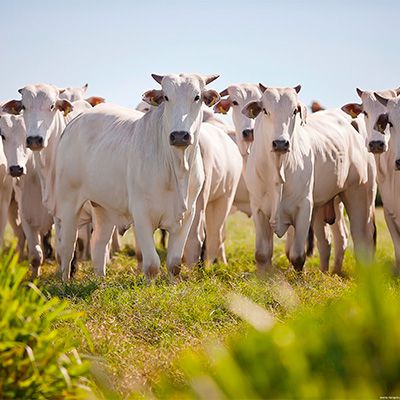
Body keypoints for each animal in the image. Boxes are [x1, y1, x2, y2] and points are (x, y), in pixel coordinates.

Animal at [51, 73, 220, 280]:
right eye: (166, 97)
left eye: (197, 97)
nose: (180, 136)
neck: (177, 168)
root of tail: (76, 120)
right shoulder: (141, 214)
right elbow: (152, 265)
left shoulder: (187, 215)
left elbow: (174, 264)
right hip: (68, 203)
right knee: (67, 247)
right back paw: (65, 281)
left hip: (103, 207)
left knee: (98, 243)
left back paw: (101, 280)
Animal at [242, 85, 376, 276]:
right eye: (265, 110)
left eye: (294, 111)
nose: (280, 143)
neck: (277, 168)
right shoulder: (258, 208)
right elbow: (262, 254)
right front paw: (262, 278)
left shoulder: (304, 207)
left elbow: (297, 256)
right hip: (327, 204)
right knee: (330, 241)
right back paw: (328, 272)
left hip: (359, 195)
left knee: (361, 240)